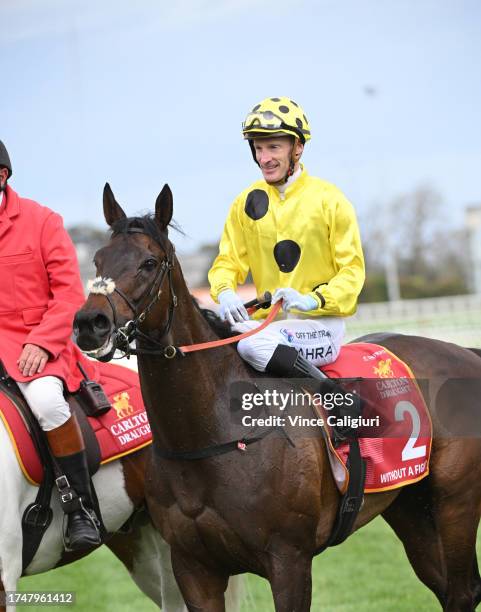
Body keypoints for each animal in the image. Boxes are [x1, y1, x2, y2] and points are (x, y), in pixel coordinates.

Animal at [74, 182, 480, 612]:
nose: (89, 323)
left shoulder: (289, 559)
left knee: (461, 591)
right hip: (410, 505)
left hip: (455, 501)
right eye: (97, 260)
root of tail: (465, 352)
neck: (213, 435)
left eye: (149, 262)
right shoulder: (193, 568)